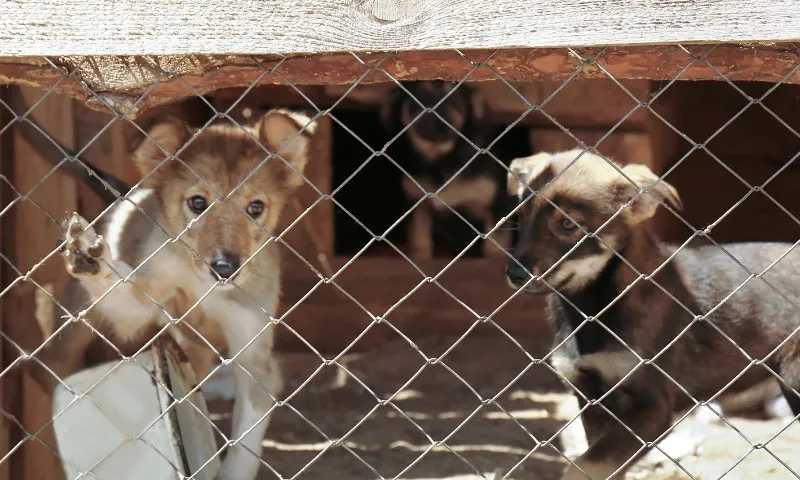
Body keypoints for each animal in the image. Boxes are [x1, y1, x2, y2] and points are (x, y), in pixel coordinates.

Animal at [506, 148, 800, 478]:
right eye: (521, 218)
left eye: (567, 224)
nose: (513, 274)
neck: (591, 306)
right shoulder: (593, 400)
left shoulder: (652, 406)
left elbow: (586, 465)